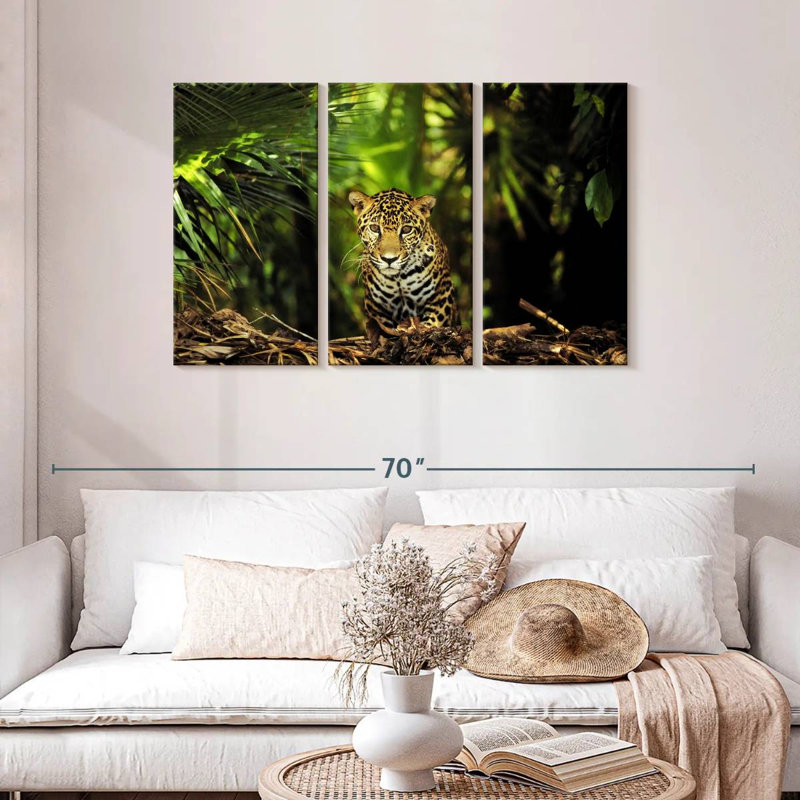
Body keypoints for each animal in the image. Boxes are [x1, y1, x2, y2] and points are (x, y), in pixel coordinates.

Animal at [347, 188, 459, 331]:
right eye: (374, 228)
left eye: (406, 229)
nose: (389, 259)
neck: (399, 278)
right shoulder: (376, 307)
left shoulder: (442, 295)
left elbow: (431, 323)